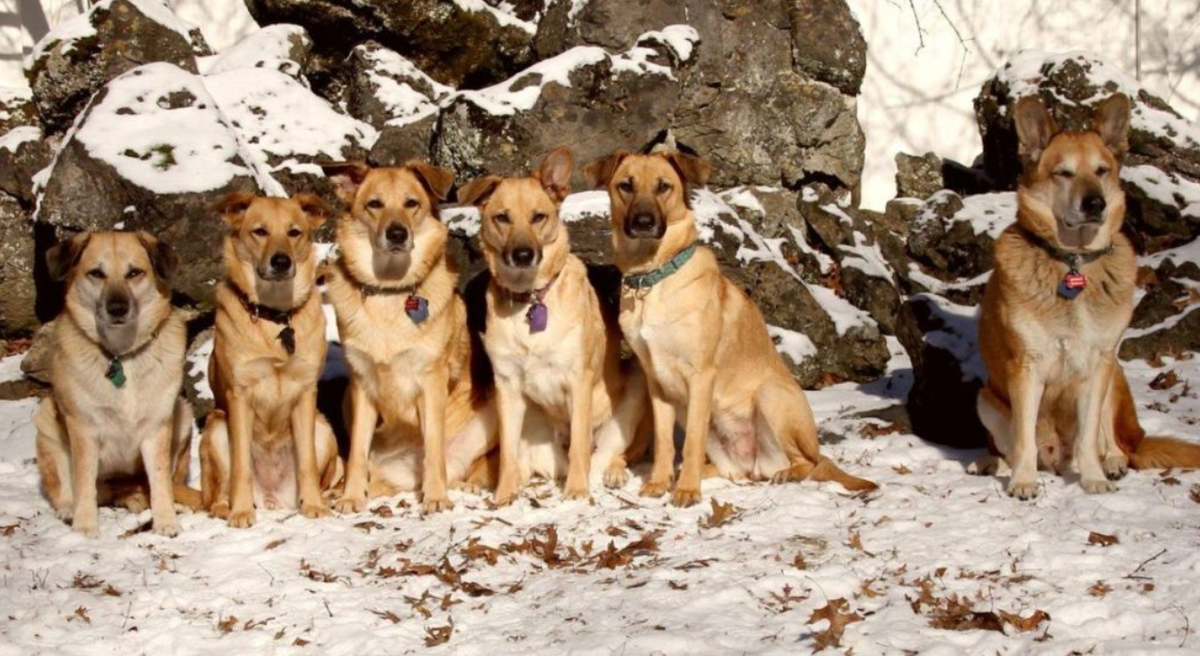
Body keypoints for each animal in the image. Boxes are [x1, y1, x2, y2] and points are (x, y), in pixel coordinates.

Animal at [199, 193, 343, 525]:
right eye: (260, 231)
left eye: (294, 232)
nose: (281, 261)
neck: (275, 316)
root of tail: (272, 497)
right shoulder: (238, 395)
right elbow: (241, 466)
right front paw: (241, 511)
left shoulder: (305, 393)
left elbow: (307, 462)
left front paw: (314, 505)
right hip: (216, 427)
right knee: (218, 492)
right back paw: (227, 507)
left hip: (323, 429)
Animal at [319, 159, 496, 513]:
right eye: (374, 204)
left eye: (411, 203)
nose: (397, 233)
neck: (390, 291)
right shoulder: (361, 385)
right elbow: (356, 453)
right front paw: (351, 496)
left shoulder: (431, 379)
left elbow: (433, 449)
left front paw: (436, 497)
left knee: (458, 466)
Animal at [585, 149, 878, 508]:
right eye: (625, 185)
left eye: (663, 186)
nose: (643, 222)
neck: (654, 277)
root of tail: (755, 463)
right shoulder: (658, 383)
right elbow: (667, 443)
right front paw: (659, 482)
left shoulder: (701, 376)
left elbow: (690, 443)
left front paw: (686, 491)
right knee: (731, 469)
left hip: (769, 396)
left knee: (808, 462)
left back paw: (786, 473)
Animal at [969, 89, 1200, 496]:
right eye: (1063, 173)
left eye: (1102, 170)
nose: (1095, 203)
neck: (1072, 262)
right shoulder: (1026, 368)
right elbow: (1024, 439)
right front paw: (1023, 481)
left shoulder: (1097, 365)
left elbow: (1089, 436)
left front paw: (1093, 477)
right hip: (987, 398)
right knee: (1011, 445)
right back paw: (994, 463)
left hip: (1114, 378)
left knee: (1115, 443)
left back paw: (1112, 463)